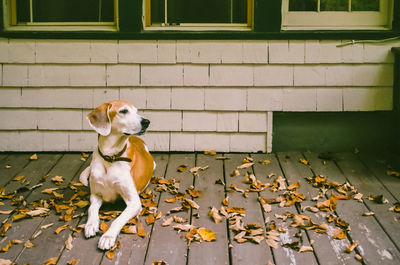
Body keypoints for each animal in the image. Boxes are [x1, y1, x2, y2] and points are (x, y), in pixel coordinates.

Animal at [79, 100, 155, 249]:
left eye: (136, 111)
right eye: (123, 111)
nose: (147, 122)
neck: (110, 157)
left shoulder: (134, 203)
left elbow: (118, 219)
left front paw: (108, 236)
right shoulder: (95, 195)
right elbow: (92, 209)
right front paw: (91, 224)